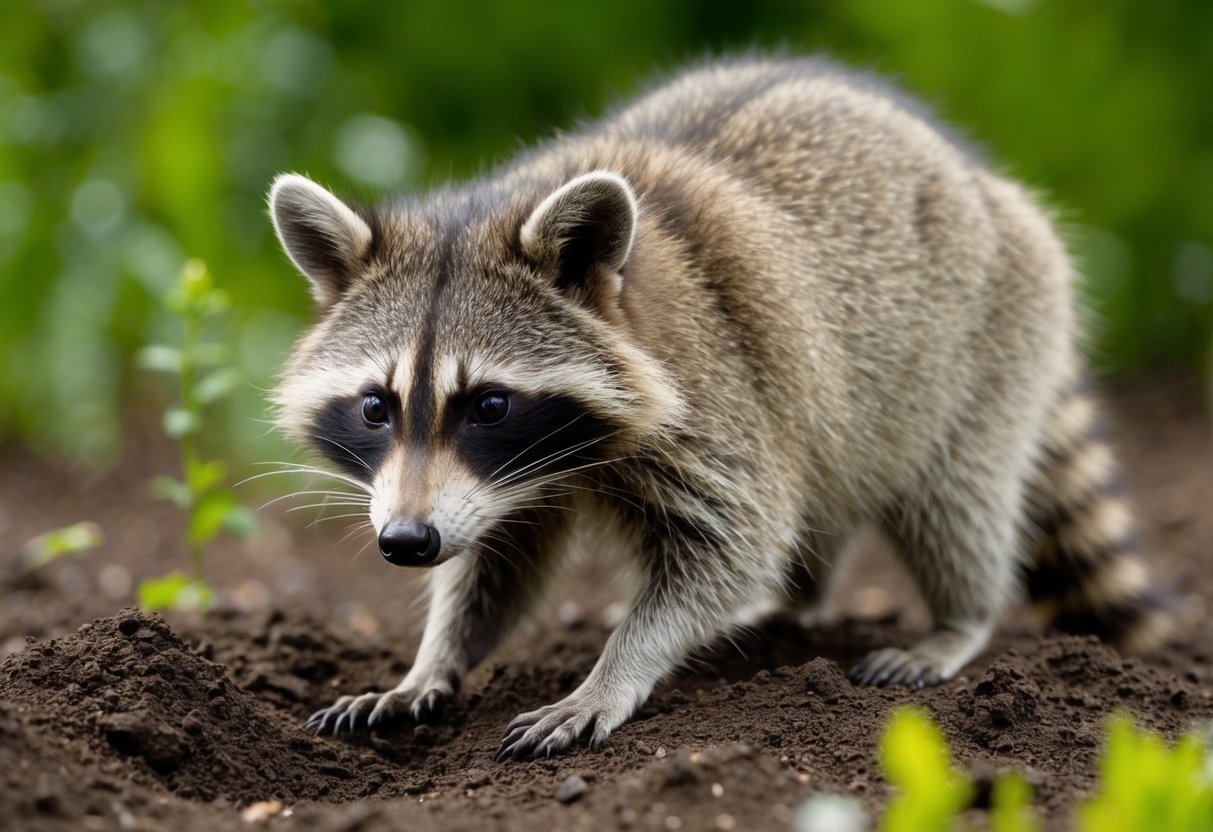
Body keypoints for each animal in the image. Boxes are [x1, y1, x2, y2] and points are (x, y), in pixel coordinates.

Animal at [268, 58, 1173, 759]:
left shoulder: (711, 392)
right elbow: (496, 563)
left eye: (488, 403)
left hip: (991, 335)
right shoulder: (494, 485)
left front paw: (616, 668)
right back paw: (796, 599)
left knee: (954, 494)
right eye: (376, 407)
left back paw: (960, 618)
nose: (404, 543)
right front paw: (432, 662)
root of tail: (981, 177)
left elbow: (732, 540)